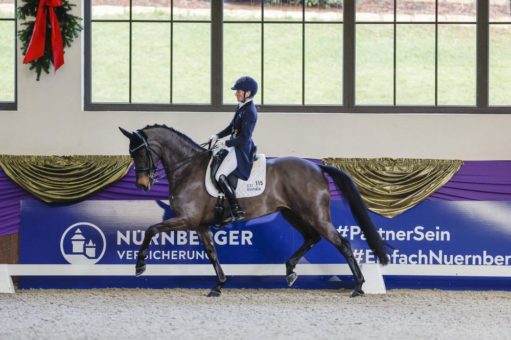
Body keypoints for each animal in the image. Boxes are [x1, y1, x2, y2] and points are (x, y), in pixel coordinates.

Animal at [120, 125, 390, 298]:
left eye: (141, 151)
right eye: (131, 153)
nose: (142, 185)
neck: (188, 168)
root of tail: (317, 167)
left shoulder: (187, 219)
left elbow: (151, 230)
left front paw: (140, 266)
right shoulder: (200, 224)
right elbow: (212, 253)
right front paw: (218, 285)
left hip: (314, 214)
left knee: (341, 242)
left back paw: (358, 287)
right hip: (293, 213)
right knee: (311, 237)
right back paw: (290, 271)